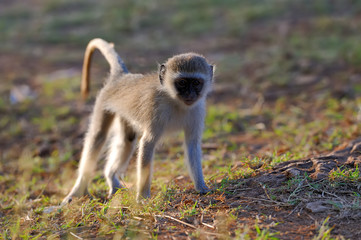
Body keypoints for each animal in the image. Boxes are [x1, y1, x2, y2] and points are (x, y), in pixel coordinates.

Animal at [62, 38, 214, 203]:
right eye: (182, 83)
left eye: (196, 83)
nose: (190, 95)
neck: (176, 102)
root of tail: (121, 77)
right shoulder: (156, 109)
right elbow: (148, 143)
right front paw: (142, 196)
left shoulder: (197, 110)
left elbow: (192, 144)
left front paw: (201, 187)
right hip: (104, 103)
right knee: (98, 137)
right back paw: (77, 190)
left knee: (127, 140)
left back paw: (111, 177)